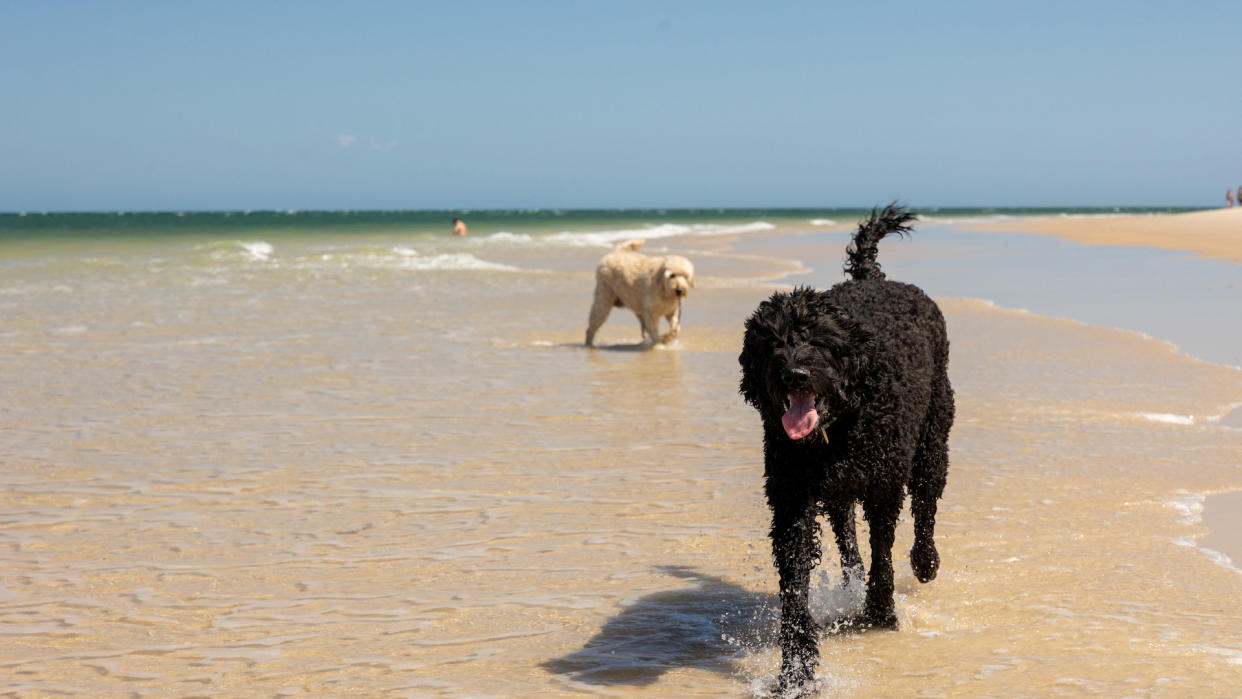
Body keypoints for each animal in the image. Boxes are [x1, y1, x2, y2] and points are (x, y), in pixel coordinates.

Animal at [740, 204, 953, 690]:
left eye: (819, 342)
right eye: (773, 344)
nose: (794, 374)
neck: (835, 432)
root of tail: (872, 278)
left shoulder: (884, 487)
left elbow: (883, 550)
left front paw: (880, 611)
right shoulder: (793, 501)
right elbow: (795, 585)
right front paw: (796, 668)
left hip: (933, 439)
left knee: (926, 504)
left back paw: (925, 561)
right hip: (839, 493)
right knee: (847, 534)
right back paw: (852, 579)